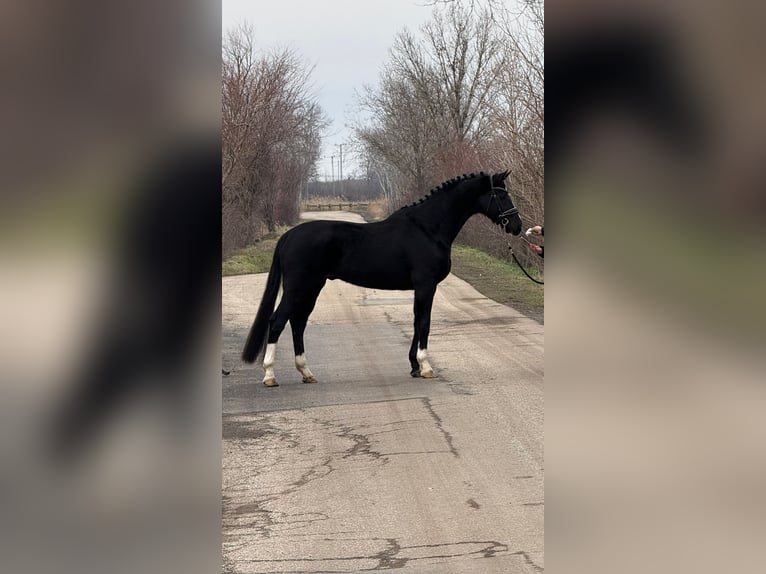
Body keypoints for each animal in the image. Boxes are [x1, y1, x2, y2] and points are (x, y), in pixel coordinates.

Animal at [243, 171, 524, 388]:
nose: (517, 226)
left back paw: (307, 373)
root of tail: (288, 236)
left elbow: (416, 322)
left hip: (312, 287)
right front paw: (425, 367)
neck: (428, 228)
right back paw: (270, 375)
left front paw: (413, 366)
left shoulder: (420, 288)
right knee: (277, 321)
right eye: (501, 195)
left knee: (298, 323)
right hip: (299, 287)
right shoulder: (426, 285)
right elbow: (424, 323)